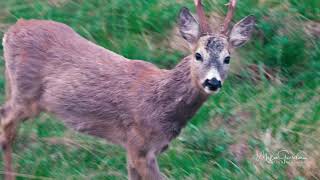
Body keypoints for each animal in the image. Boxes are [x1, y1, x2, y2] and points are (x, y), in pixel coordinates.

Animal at [0, 0, 255, 179]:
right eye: (198, 55)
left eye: (228, 58)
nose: (213, 82)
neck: (162, 104)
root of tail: (12, 29)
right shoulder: (138, 145)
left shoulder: (143, 150)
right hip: (26, 93)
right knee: (6, 123)